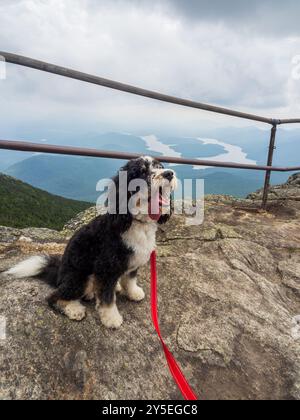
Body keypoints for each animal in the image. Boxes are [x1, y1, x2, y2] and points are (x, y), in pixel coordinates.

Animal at [5, 156, 177, 330]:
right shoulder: (106, 268)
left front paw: (133, 292)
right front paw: (111, 318)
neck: (136, 222)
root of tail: (59, 274)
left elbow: (130, 279)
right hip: (80, 277)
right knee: (55, 296)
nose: (169, 173)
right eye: (142, 172)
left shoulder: (132, 262)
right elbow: (107, 298)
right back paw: (74, 309)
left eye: (160, 167)